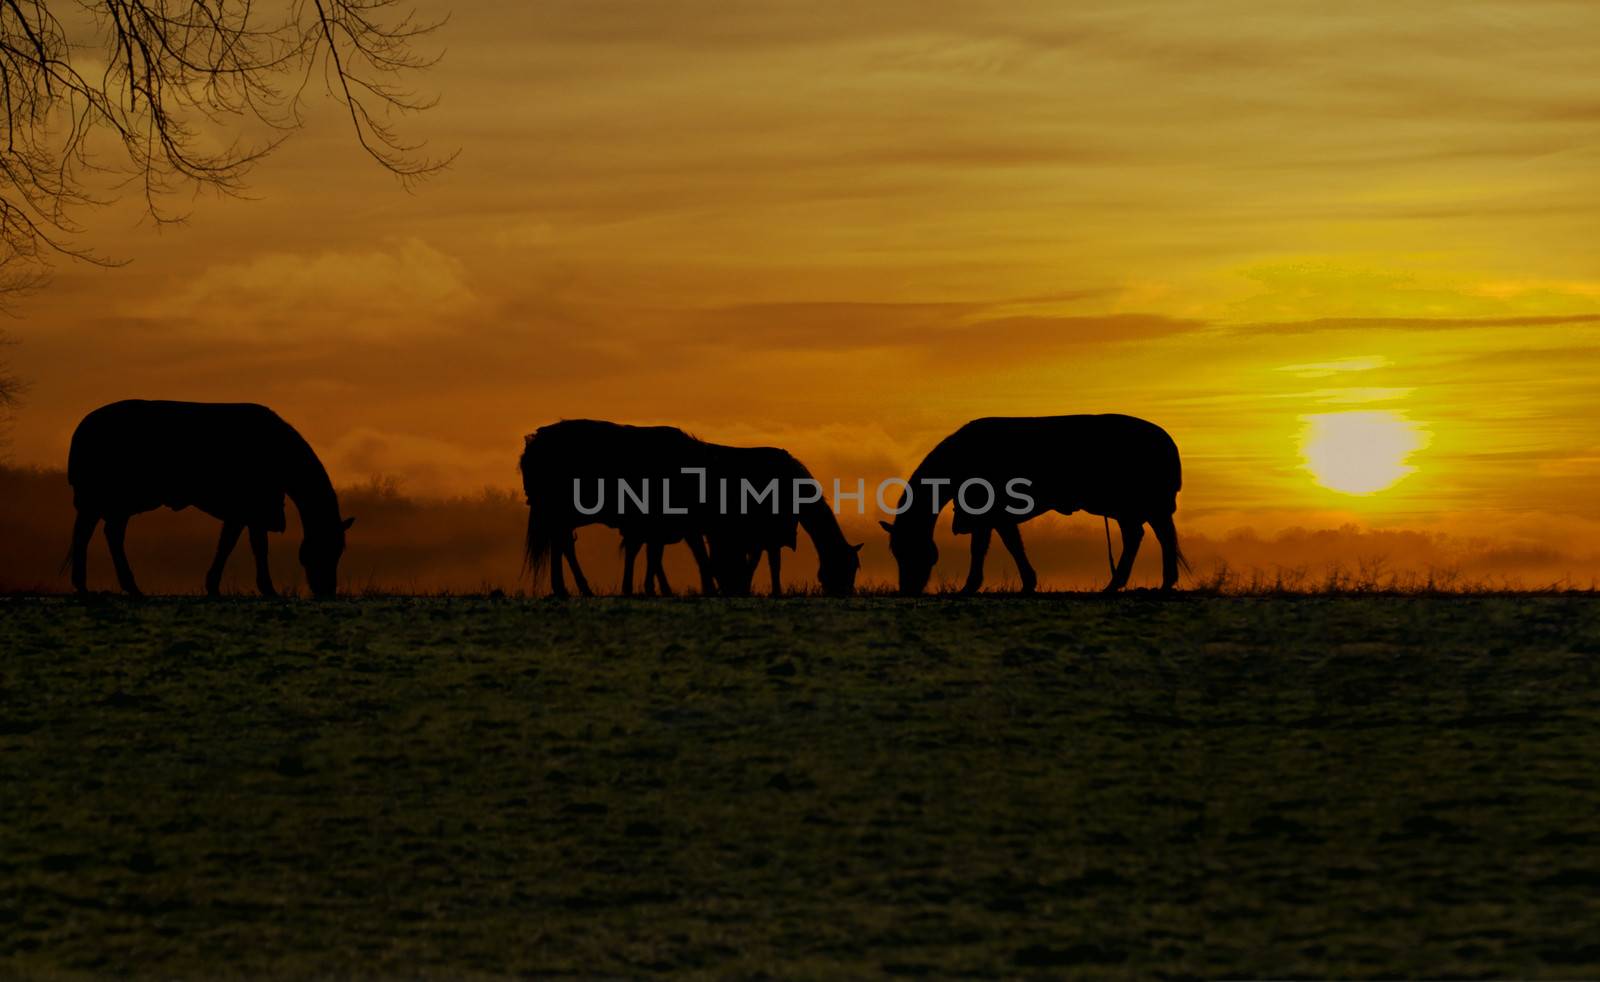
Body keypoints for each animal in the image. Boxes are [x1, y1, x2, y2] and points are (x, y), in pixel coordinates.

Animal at [68, 401, 353, 601]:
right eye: (328, 548)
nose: (328, 589)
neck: (283, 458)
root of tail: (81, 432)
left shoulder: (243, 512)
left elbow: (232, 544)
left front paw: (215, 585)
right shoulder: (253, 508)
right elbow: (251, 547)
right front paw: (265, 588)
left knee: (94, 534)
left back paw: (91, 586)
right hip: (112, 499)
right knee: (103, 535)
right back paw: (120, 586)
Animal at [883, 412, 1184, 591]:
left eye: (907, 550)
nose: (907, 589)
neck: (960, 462)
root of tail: (1167, 443)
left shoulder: (988, 514)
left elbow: (988, 547)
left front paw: (973, 586)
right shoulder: (995, 516)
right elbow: (1007, 545)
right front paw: (1026, 581)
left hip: (1136, 505)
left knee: (1153, 537)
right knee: (1147, 536)